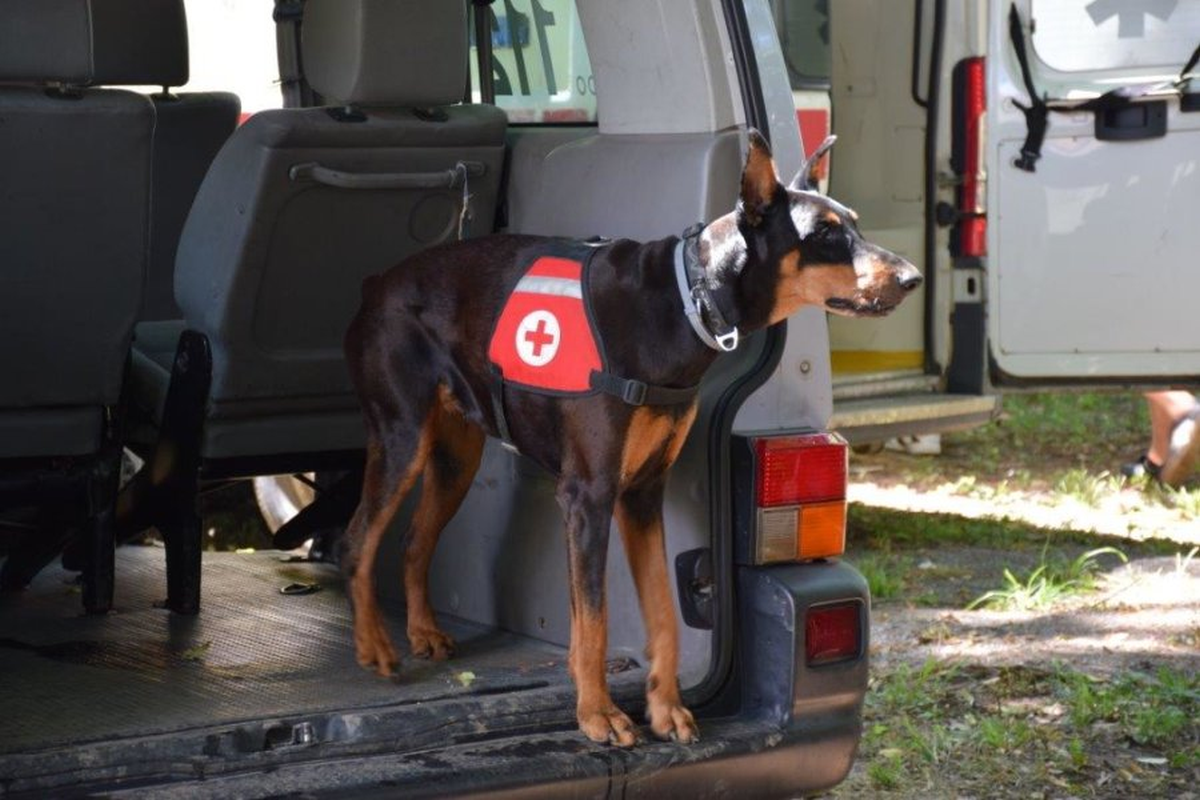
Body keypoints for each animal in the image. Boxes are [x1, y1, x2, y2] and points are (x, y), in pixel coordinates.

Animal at [343, 128, 921, 748]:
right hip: (401, 436)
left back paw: (422, 632)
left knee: (413, 540)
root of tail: (377, 282)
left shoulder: (642, 492)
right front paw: (598, 715)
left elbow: (664, 612)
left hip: (456, 456)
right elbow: (593, 620)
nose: (912, 278)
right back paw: (374, 646)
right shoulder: (588, 495)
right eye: (826, 235)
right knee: (358, 540)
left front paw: (665, 709)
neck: (686, 303)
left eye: (854, 224)